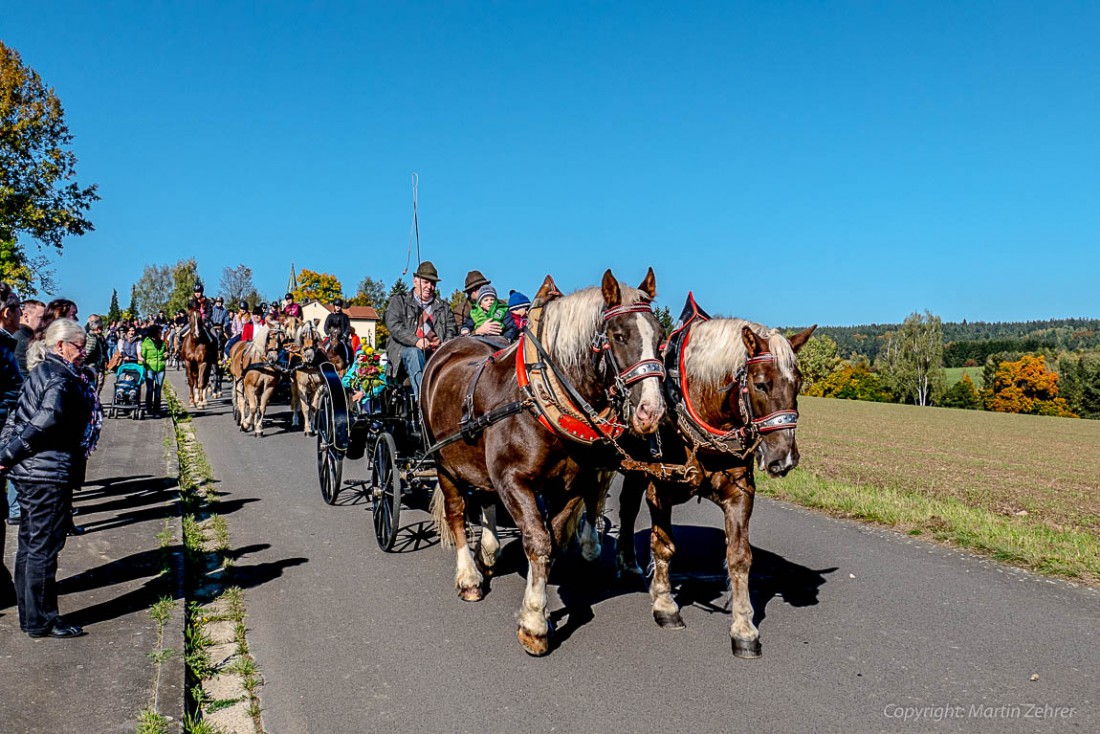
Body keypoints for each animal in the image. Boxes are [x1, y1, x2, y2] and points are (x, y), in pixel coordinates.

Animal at [418, 268, 660, 655]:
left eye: (661, 337)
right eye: (619, 336)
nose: (651, 411)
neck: (541, 398)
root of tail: (449, 348)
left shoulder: (574, 482)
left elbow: (554, 539)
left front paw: (540, 607)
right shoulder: (514, 480)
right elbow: (537, 540)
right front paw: (534, 623)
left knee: (485, 499)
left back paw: (489, 553)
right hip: (443, 463)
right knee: (456, 514)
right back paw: (469, 577)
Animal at [607, 299, 814, 660]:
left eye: (798, 382)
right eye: (761, 383)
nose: (784, 459)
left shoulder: (740, 494)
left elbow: (740, 557)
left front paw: (744, 628)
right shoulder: (660, 488)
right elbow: (663, 546)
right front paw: (665, 605)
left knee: (627, 508)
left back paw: (628, 564)